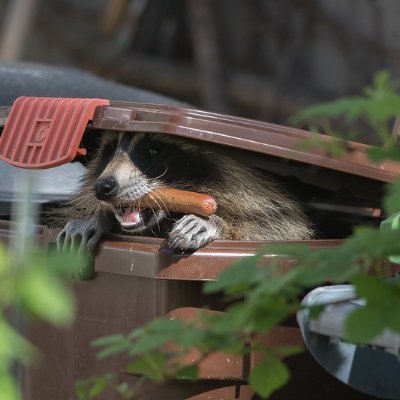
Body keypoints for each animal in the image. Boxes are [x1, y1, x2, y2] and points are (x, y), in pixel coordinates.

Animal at [56, 132, 314, 253]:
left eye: (153, 150)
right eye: (109, 151)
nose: (103, 188)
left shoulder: (276, 211)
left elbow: (269, 231)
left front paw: (217, 223)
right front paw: (95, 216)